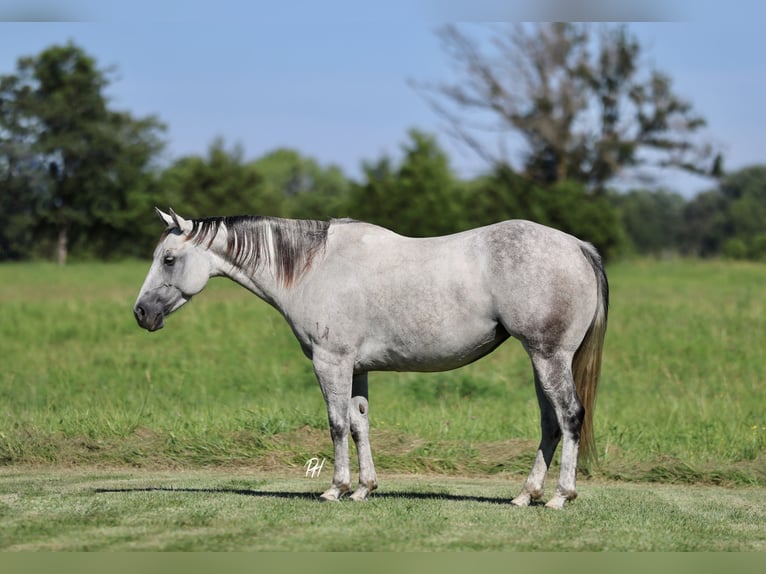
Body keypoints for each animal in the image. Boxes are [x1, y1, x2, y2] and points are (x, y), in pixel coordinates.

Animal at [134, 208, 608, 509]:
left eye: (169, 259)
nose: (141, 313)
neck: (313, 268)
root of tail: (577, 247)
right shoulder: (356, 368)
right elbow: (360, 423)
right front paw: (364, 489)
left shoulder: (331, 362)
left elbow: (337, 424)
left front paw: (335, 488)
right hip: (541, 361)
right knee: (550, 423)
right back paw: (527, 494)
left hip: (549, 356)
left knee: (569, 416)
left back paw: (561, 497)